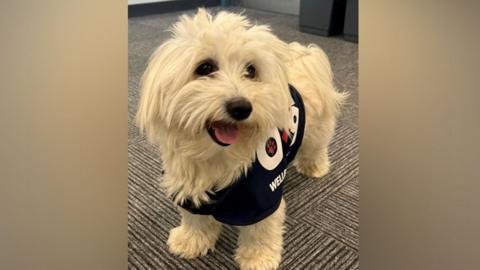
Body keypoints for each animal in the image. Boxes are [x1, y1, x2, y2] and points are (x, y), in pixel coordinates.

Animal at [135, 8, 344, 270]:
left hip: (316, 133)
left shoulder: (263, 195)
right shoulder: (189, 186)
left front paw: (259, 259)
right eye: (205, 67)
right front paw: (191, 241)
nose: (241, 107)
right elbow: (195, 220)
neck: (217, 156)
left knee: (316, 149)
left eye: (251, 71)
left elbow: (261, 230)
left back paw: (314, 168)